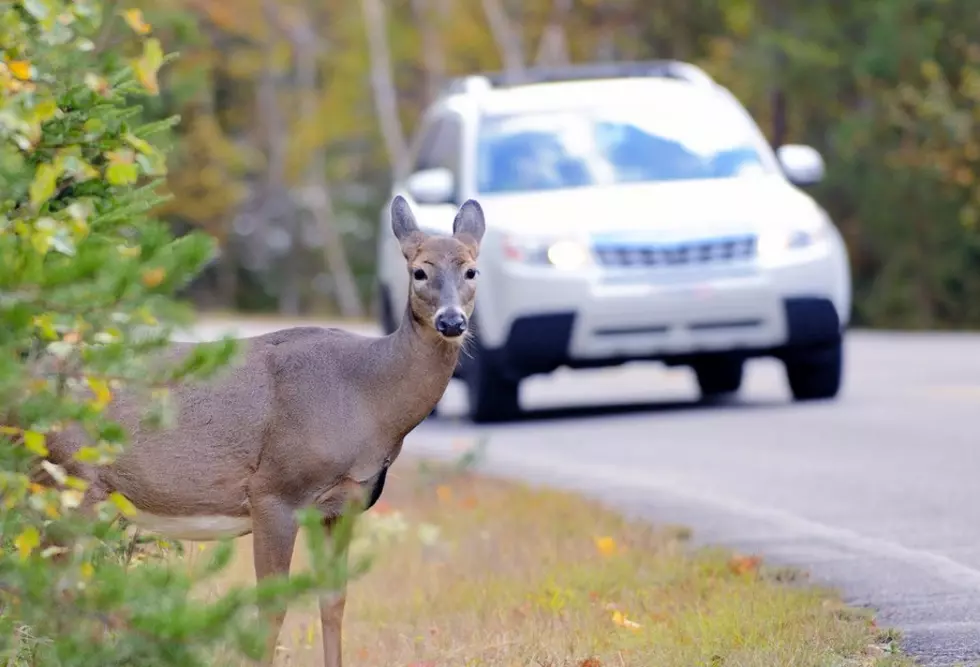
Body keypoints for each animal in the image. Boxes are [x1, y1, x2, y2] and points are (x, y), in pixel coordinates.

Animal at [41, 196, 486, 664]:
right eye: (419, 271)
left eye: (472, 270)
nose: (451, 322)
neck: (366, 396)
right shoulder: (274, 491)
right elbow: (271, 608)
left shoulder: (343, 504)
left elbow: (334, 600)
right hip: (71, 476)